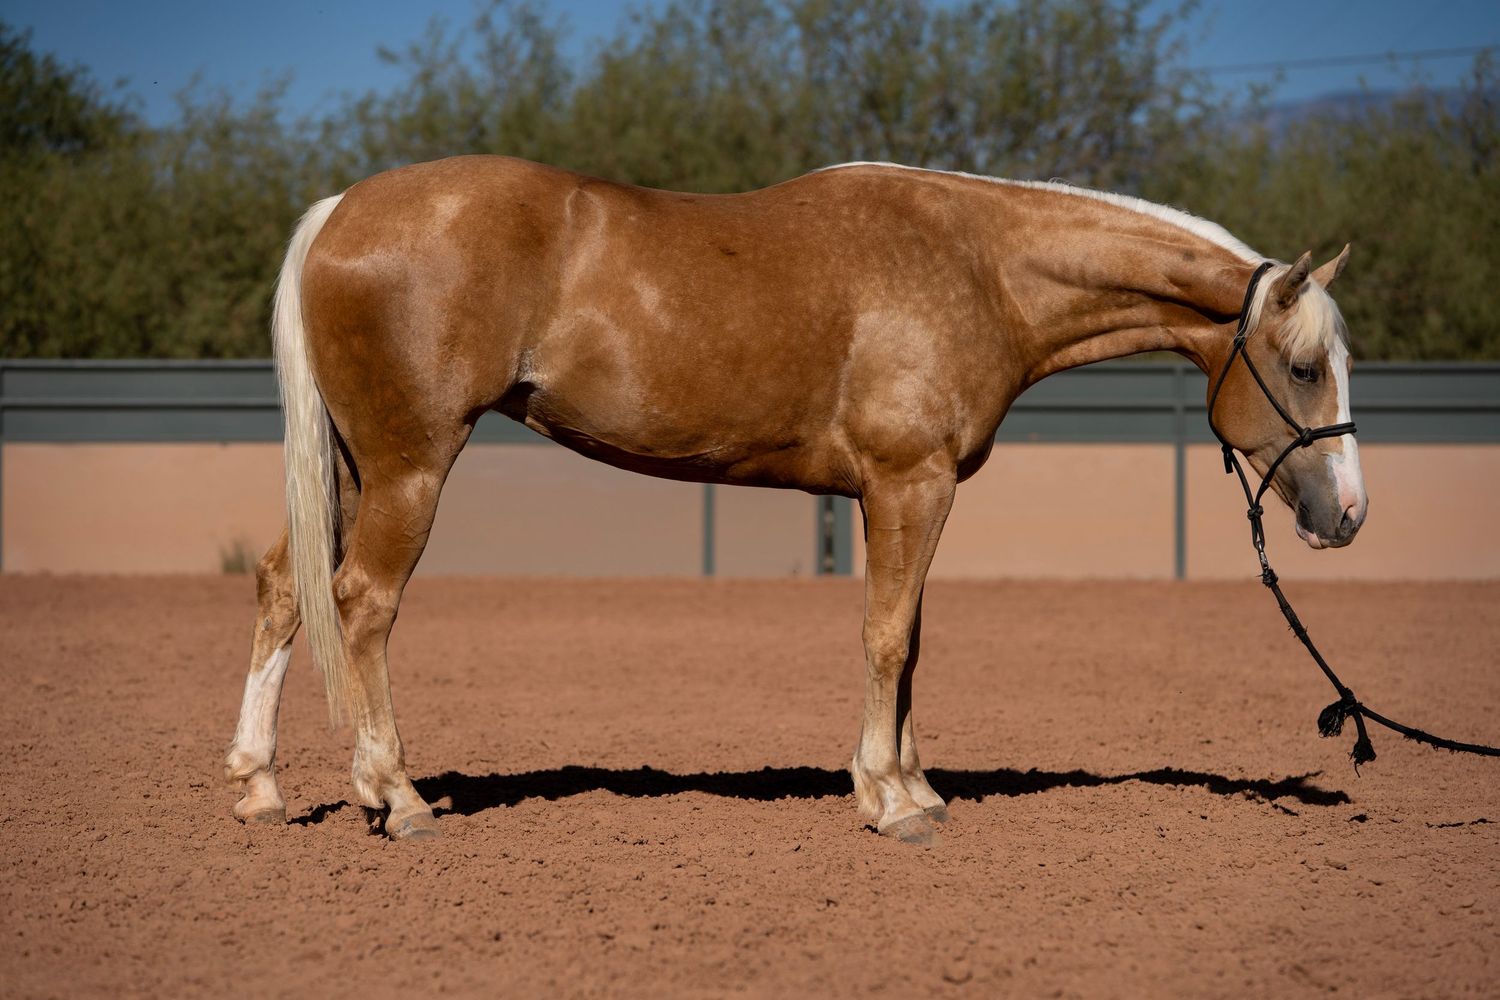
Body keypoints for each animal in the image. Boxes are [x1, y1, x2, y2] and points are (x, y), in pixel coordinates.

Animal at [224, 156, 1367, 845]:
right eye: (1306, 367)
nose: (1347, 514)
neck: (980, 266)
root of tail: (341, 211)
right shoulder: (909, 483)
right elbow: (887, 638)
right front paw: (890, 802)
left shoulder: (902, 493)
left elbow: (912, 638)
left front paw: (917, 785)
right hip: (411, 464)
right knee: (363, 601)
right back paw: (398, 796)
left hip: (356, 465)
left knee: (284, 589)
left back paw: (259, 783)